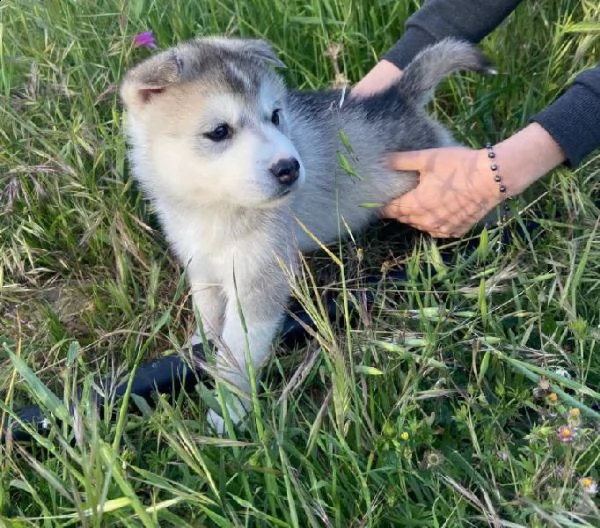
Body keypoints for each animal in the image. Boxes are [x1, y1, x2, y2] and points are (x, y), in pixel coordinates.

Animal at [119, 35, 490, 432]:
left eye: (275, 116)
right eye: (219, 131)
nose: (289, 168)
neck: (214, 207)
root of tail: (396, 99)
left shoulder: (260, 279)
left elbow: (238, 352)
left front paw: (228, 410)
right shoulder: (202, 267)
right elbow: (209, 317)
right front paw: (197, 347)